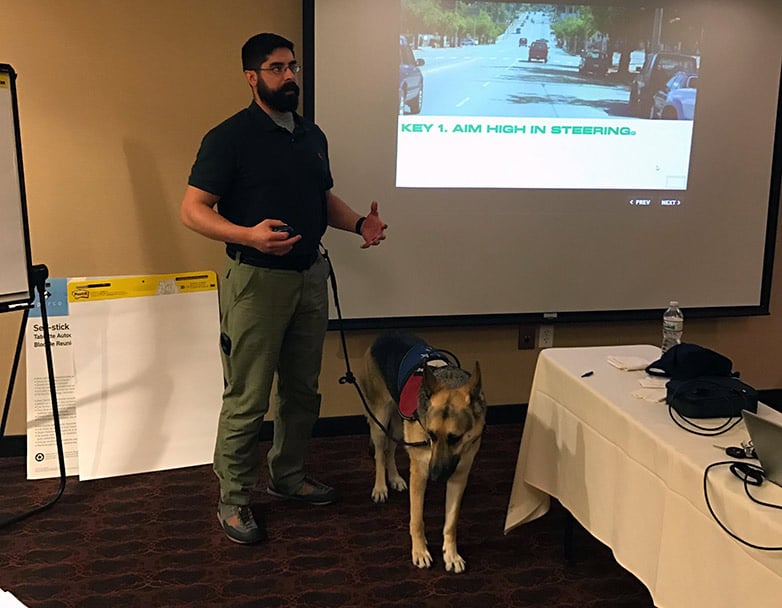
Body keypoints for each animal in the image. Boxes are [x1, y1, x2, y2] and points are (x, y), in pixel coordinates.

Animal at [358, 334, 486, 572]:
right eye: (431, 434)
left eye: (455, 438)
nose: (435, 477)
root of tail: (385, 334)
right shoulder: (419, 472)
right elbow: (416, 519)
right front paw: (420, 551)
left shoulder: (459, 476)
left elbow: (451, 523)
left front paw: (451, 555)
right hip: (380, 418)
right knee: (380, 453)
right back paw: (381, 487)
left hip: (398, 424)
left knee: (390, 449)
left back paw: (395, 478)